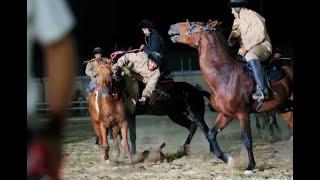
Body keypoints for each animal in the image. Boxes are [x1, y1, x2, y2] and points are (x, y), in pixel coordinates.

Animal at [169, 20, 294, 171]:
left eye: (192, 24)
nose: (171, 27)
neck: (225, 76)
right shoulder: (225, 115)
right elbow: (211, 134)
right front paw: (227, 159)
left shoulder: (243, 114)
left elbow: (247, 140)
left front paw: (250, 166)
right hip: (284, 109)